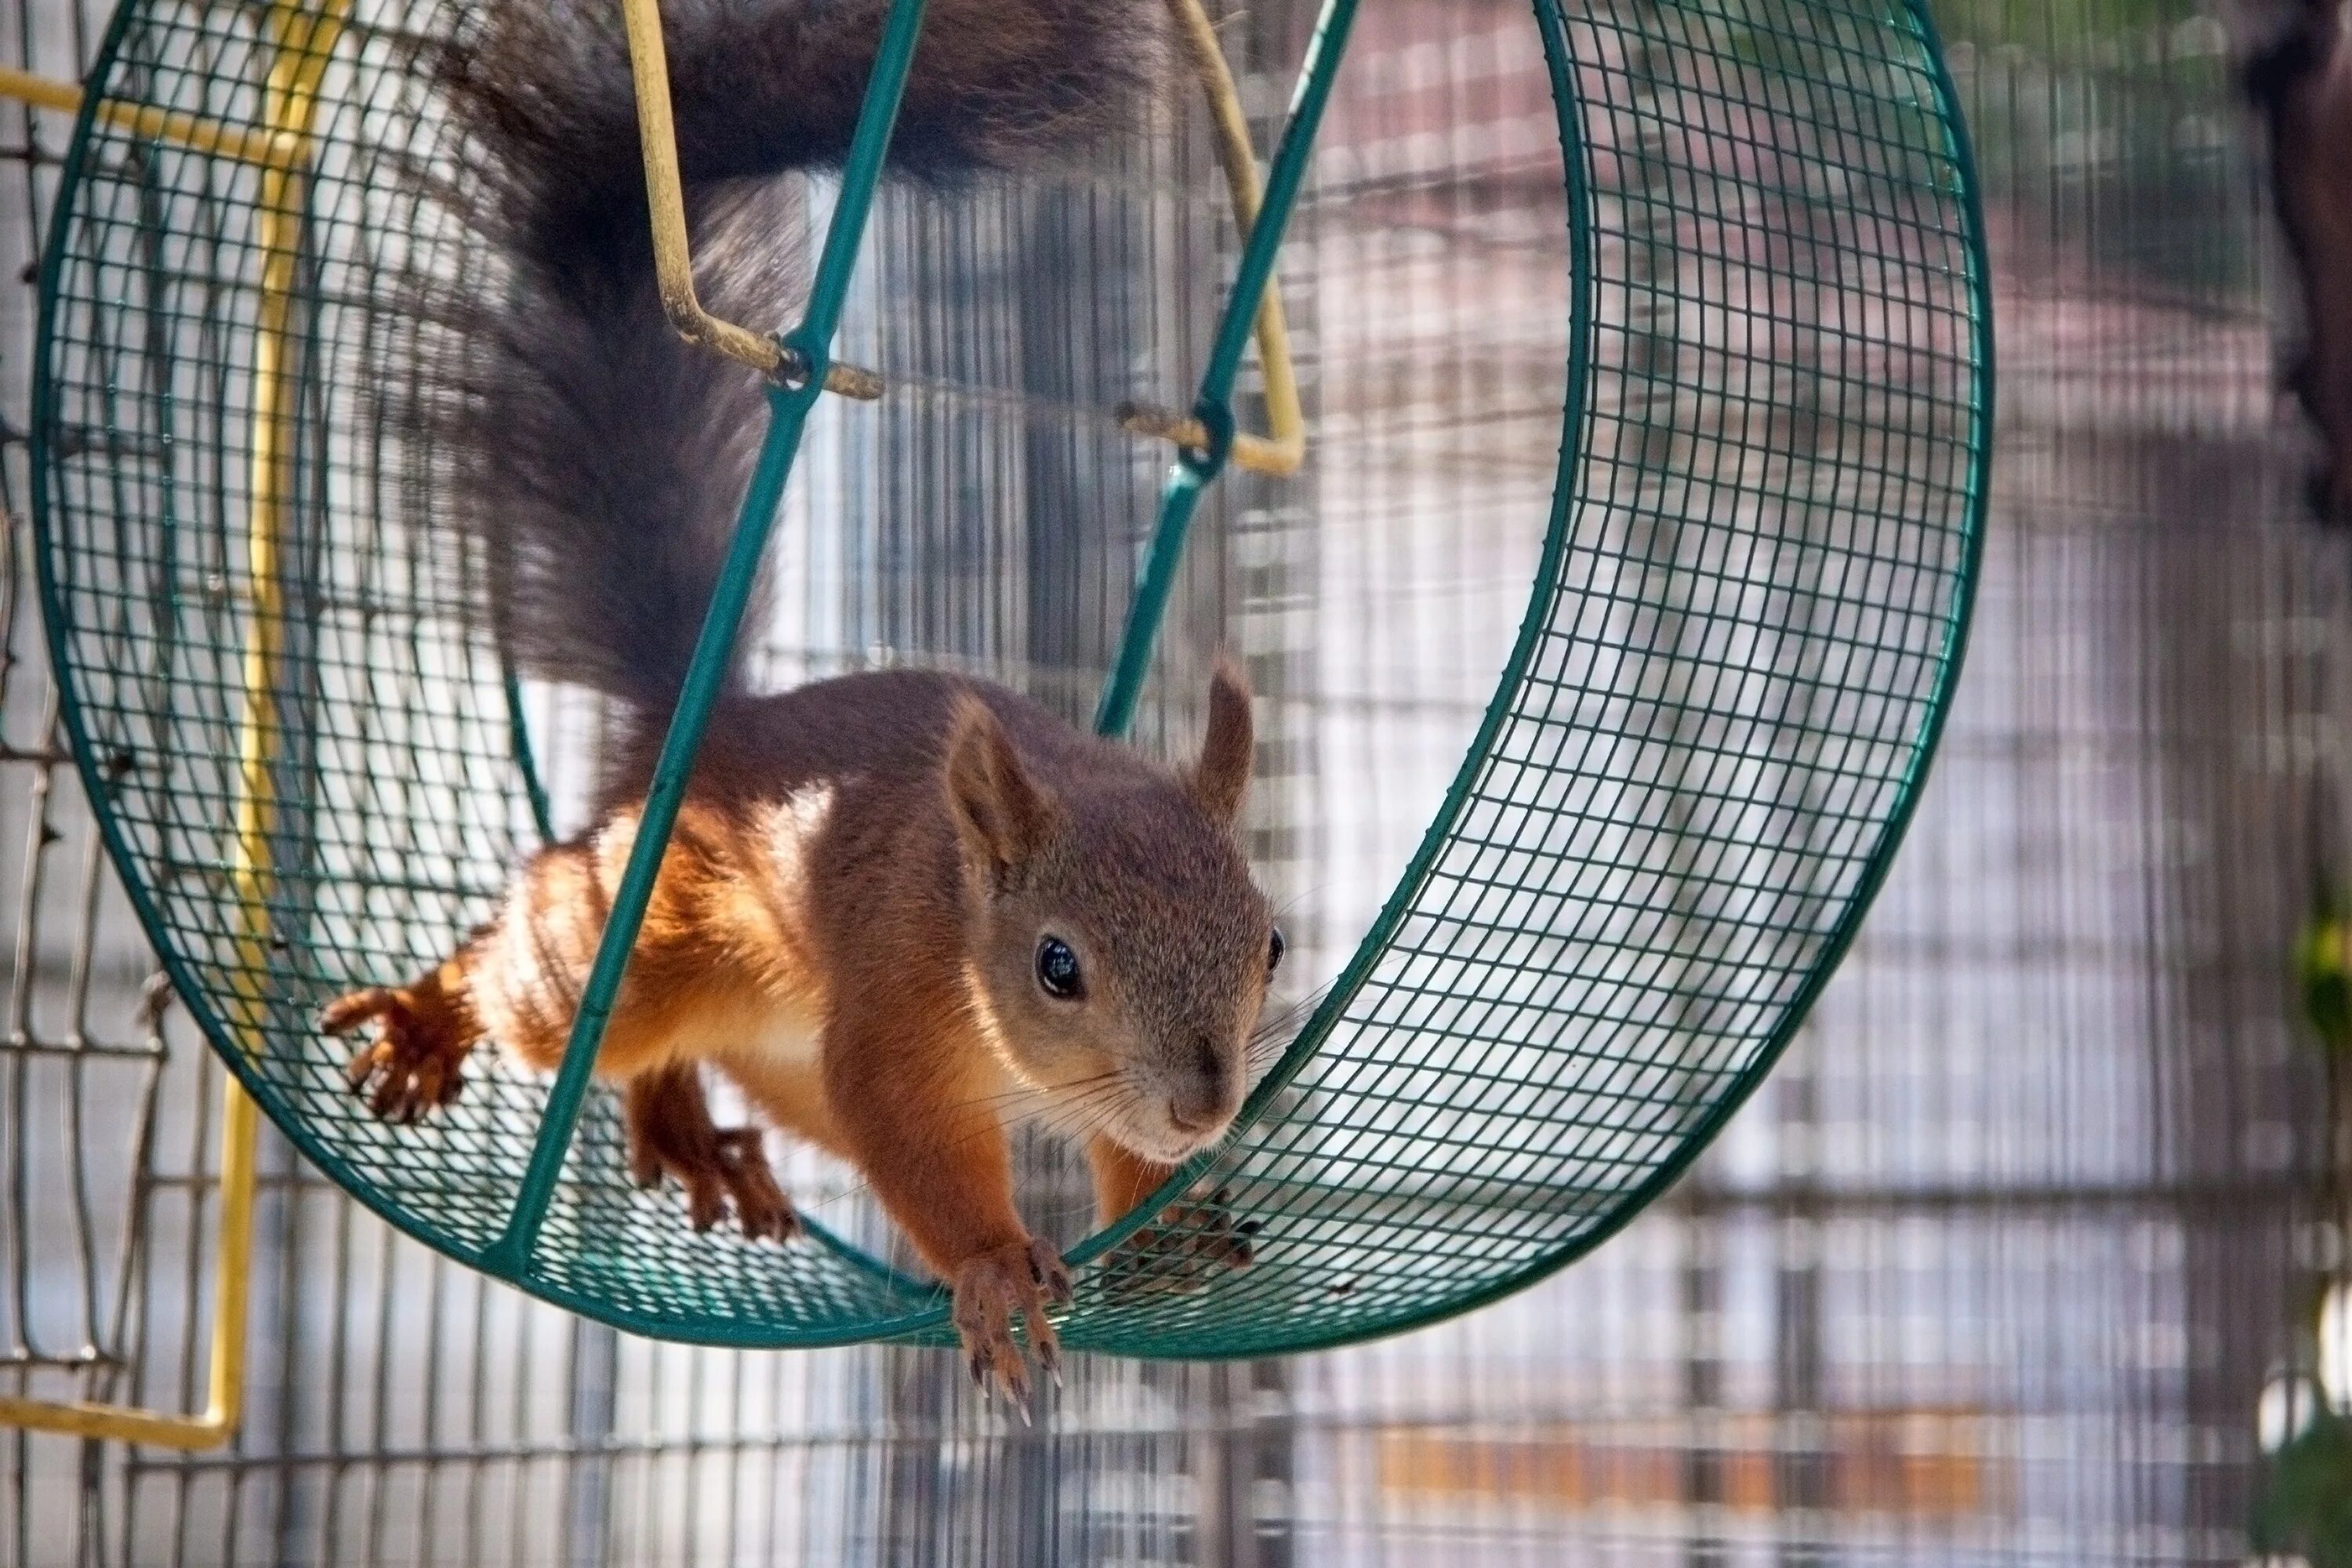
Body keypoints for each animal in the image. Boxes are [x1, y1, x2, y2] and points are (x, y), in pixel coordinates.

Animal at [318, 0, 1289, 1401]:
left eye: (1272, 943)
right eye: (1056, 966)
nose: (1205, 1109)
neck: (967, 903)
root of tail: (707, 730)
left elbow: (1119, 1151)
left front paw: (1164, 1232)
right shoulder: (893, 1010)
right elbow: (915, 1141)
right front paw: (996, 1269)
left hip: (776, 1055)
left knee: (679, 1054)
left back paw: (678, 1125)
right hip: (645, 935)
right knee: (538, 952)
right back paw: (431, 1016)